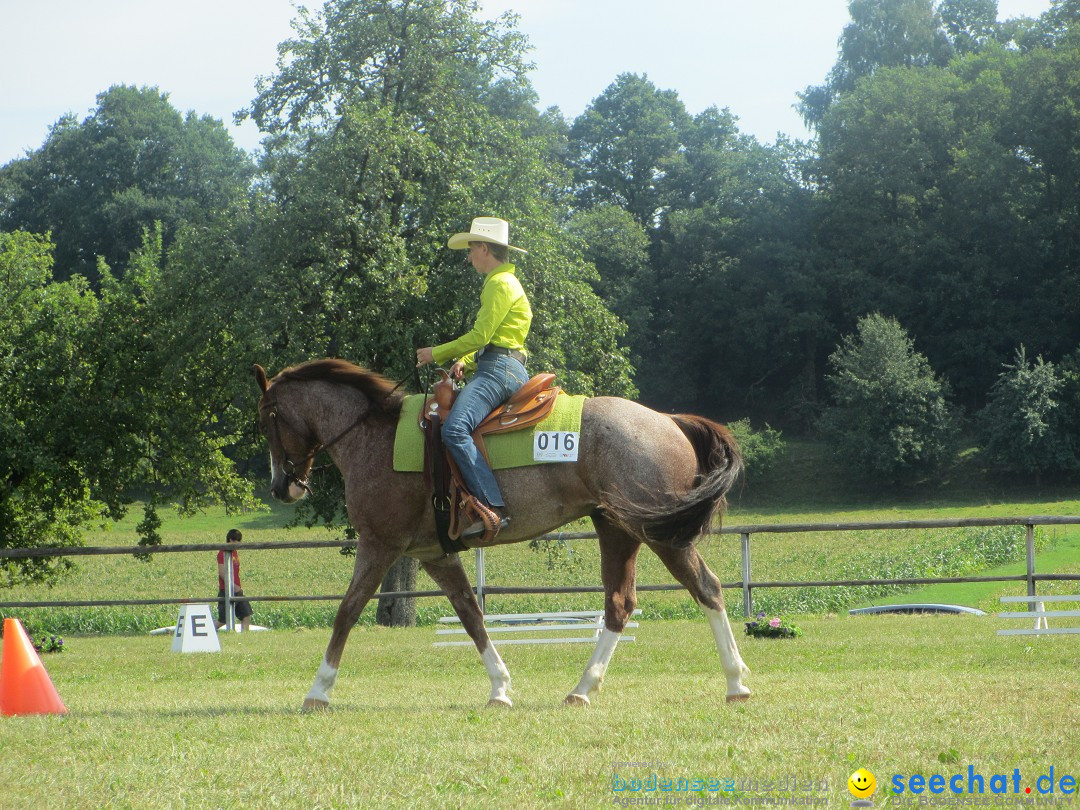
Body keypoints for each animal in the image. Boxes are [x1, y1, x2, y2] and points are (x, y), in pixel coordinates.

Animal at [250, 360, 751, 708]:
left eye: (266, 417)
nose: (282, 485)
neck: (374, 436)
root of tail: (669, 420)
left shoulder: (379, 545)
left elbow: (346, 612)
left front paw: (318, 690)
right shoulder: (435, 554)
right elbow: (471, 615)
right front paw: (500, 688)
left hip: (659, 533)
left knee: (706, 589)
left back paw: (735, 681)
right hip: (616, 528)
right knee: (619, 604)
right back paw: (583, 688)